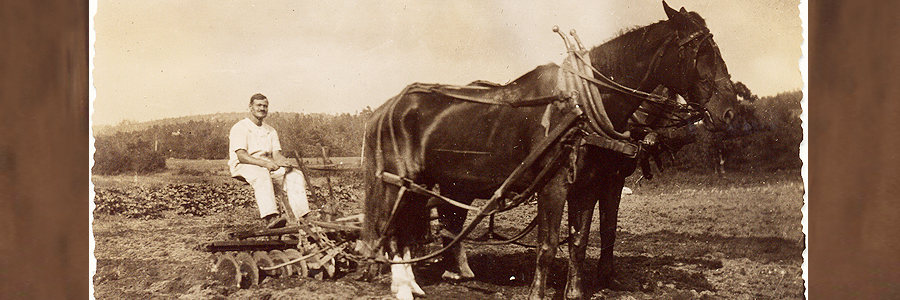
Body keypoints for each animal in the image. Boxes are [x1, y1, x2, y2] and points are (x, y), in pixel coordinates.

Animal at [356, 1, 736, 298]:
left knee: (408, 227)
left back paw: (416, 282)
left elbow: (580, 243)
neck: (580, 106)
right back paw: (402, 288)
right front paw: (538, 293)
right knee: (392, 230)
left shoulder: (587, 186)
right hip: (396, 181)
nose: (729, 111)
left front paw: (577, 291)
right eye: (701, 52)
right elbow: (547, 246)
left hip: (420, 184)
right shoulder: (553, 186)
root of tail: (386, 108)